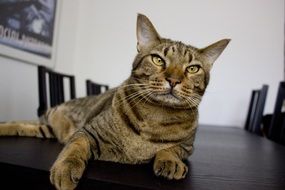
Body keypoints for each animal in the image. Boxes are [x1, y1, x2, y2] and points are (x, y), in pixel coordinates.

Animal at [0, 13, 229, 190]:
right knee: (23, 123)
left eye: (193, 68)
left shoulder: (188, 147)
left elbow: (172, 149)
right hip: (54, 119)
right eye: (158, 60)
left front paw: (169, 160)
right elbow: (74, 149)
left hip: (47, 130)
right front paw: (65, 169)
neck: (156, 115)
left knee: (24, 126)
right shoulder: (86, 132)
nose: (173, 80)